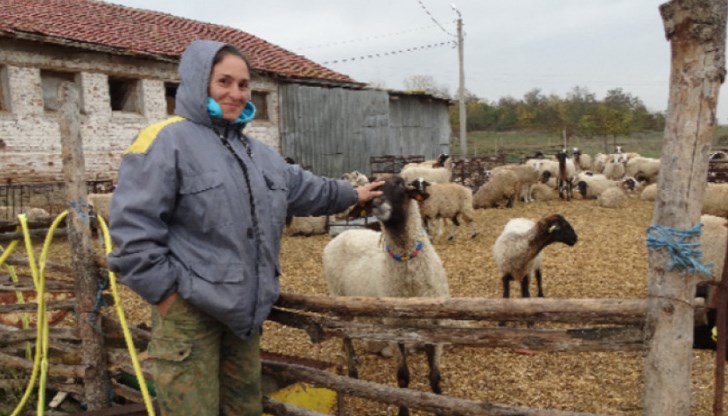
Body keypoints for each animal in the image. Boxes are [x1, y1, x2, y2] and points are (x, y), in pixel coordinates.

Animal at [322, 174, 446, 414]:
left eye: (399, 183)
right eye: (373, 186)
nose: (374, 203)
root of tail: (344, 233)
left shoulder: (434, 327)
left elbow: (435, 377)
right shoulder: (393, 326)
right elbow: (403, 377)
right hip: (338, 297)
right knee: (345, 335)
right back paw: (353, 372)